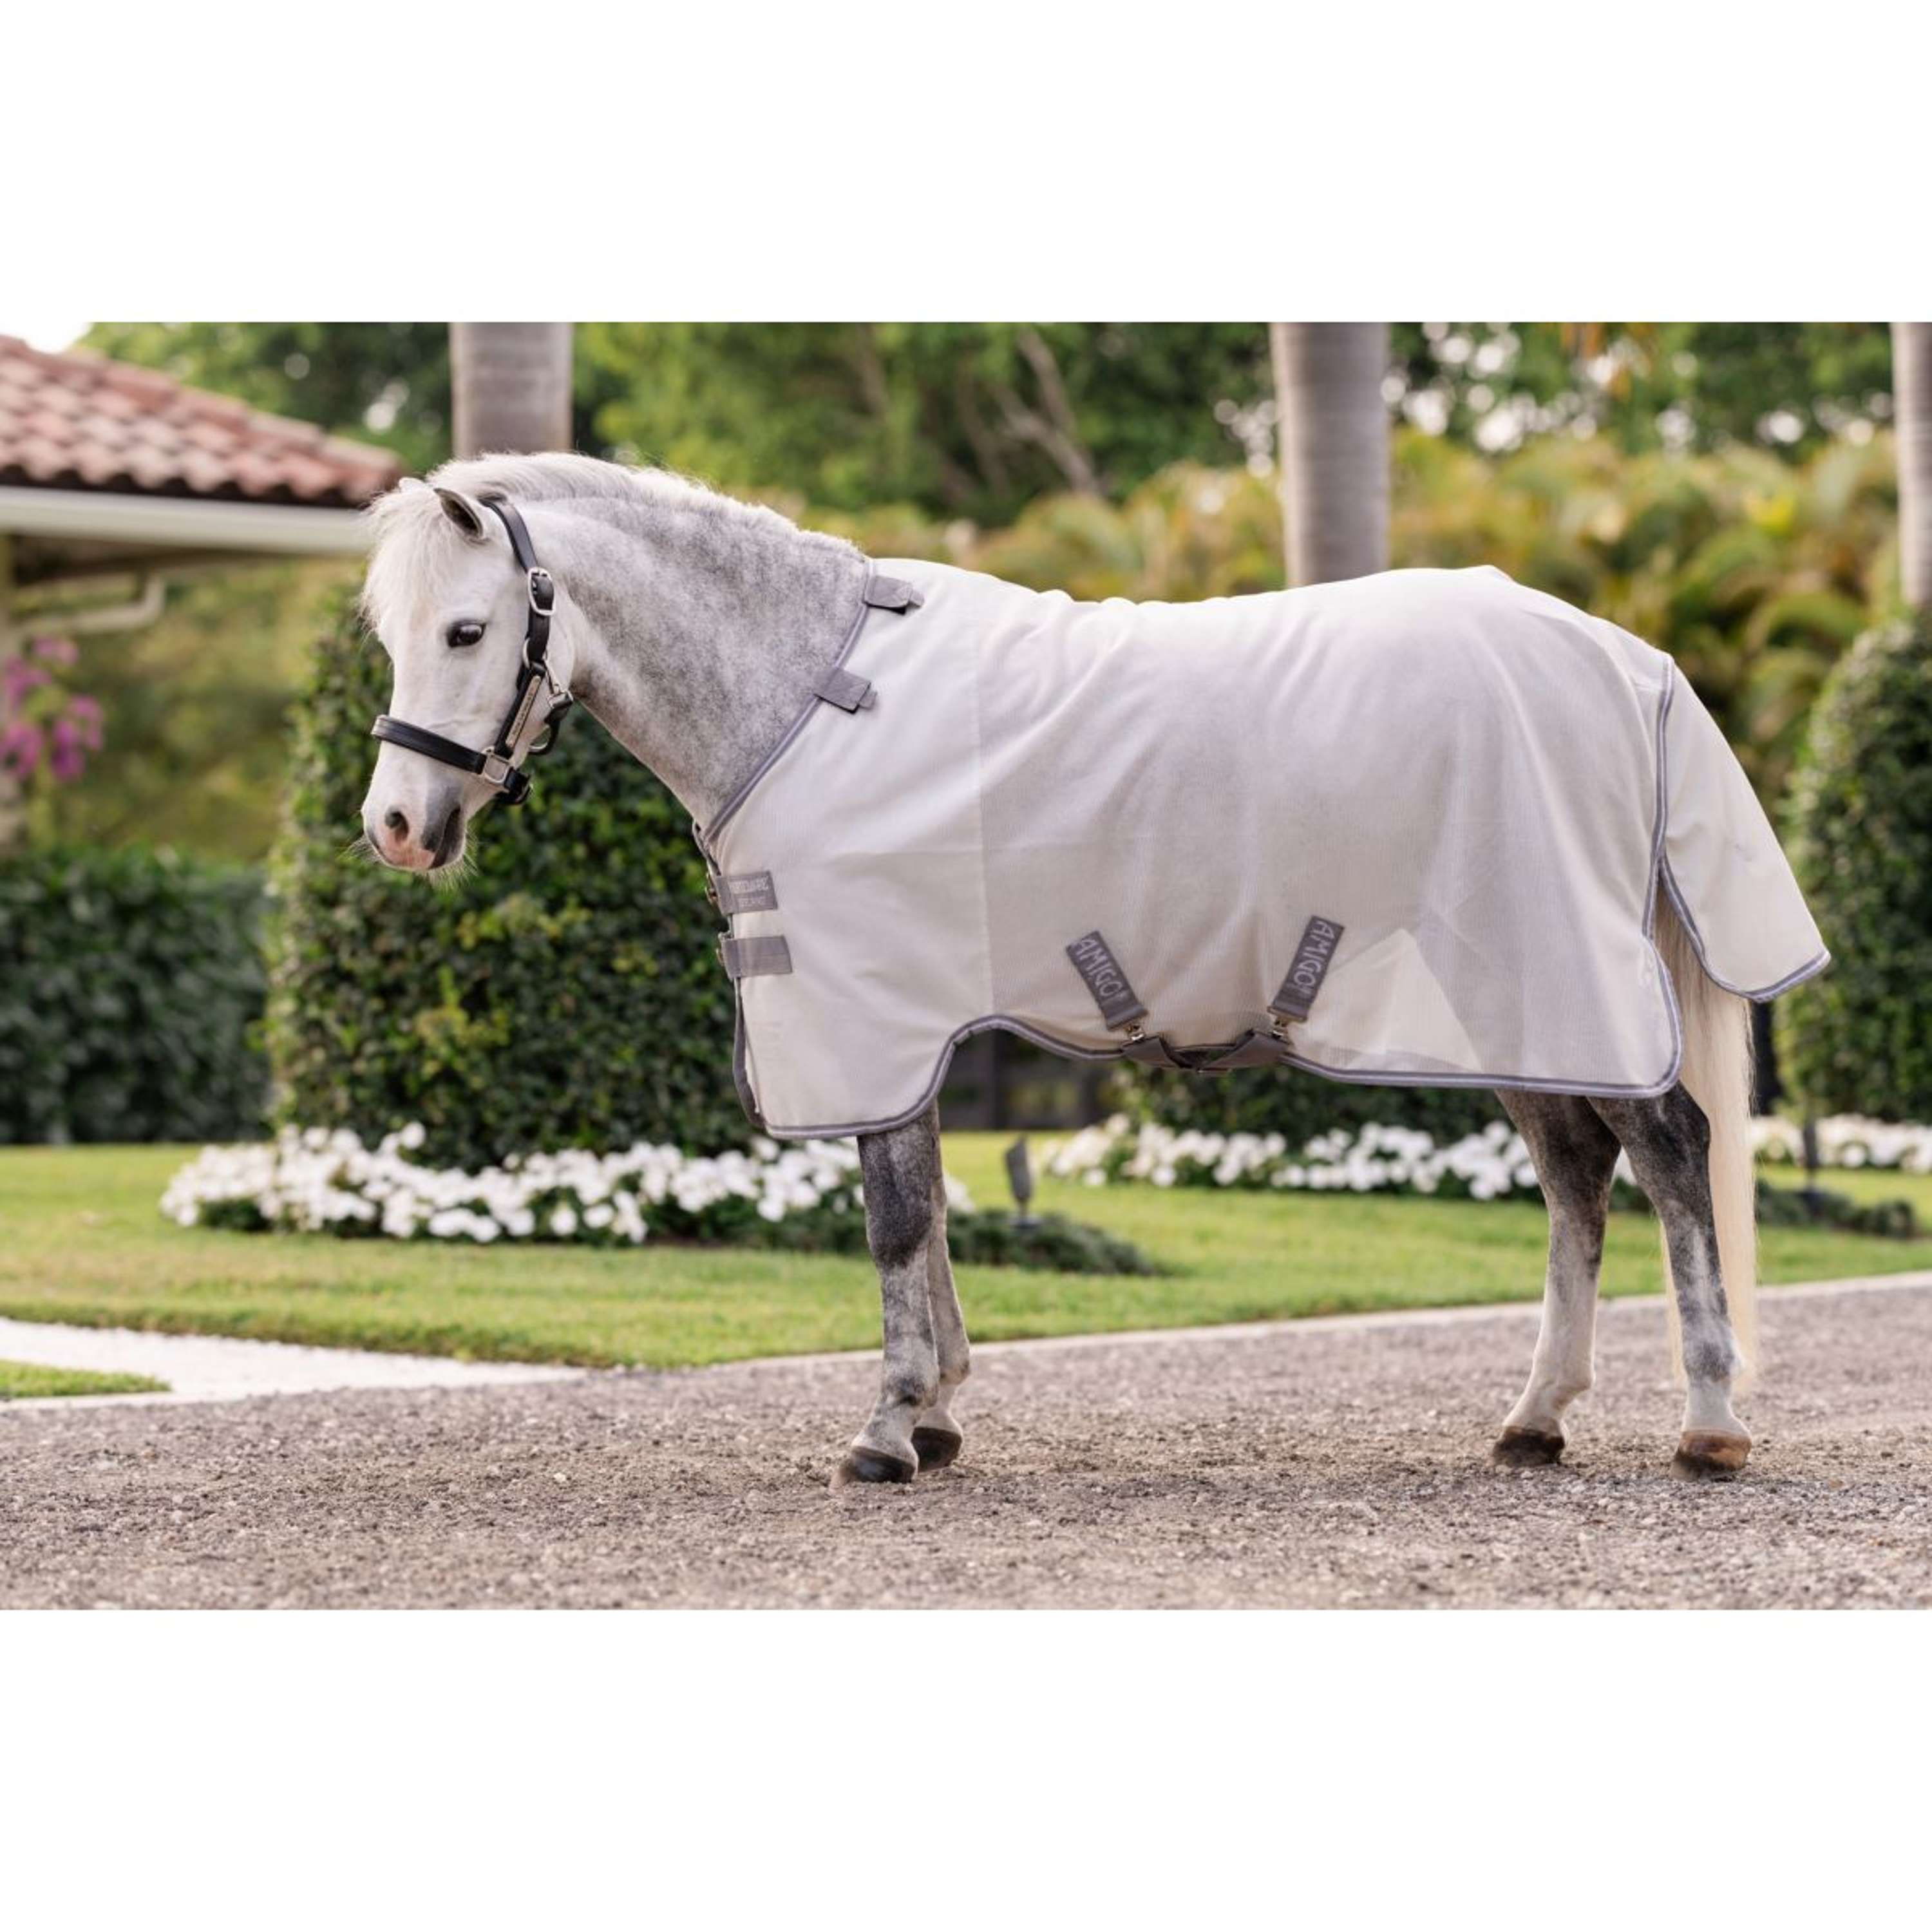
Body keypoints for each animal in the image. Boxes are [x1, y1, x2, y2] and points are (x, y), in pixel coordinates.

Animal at [358, 451, 1824, 1488]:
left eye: (469, 631)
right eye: (389, 633)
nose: (395, 828)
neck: (809, 697)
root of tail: (1627, 660)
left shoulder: (875, 1017)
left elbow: (895, 1220)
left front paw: (888, 1430)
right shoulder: (917, 1026)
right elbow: (933, 1215)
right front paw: (939, 1413)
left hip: (1558, 977)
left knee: (1673, 1154)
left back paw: (1707, 1420)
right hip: (1516, 1002)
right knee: (1580, 1177)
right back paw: (1534, 1420)